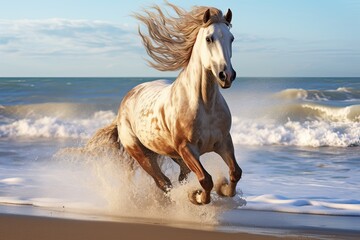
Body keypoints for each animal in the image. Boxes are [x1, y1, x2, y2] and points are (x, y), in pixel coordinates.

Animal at [88, 2, 243, 204]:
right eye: (209, 38)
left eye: (231, 38)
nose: (227, 75)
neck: (206, 104)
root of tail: (124, 104)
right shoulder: (186, 148)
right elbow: (205, 179)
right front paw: (196, 196)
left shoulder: (223, 141)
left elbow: (235, 172)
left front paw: (224, 189)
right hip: (143, 154)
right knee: (164, 182)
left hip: (171, 154)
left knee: (177, 178)